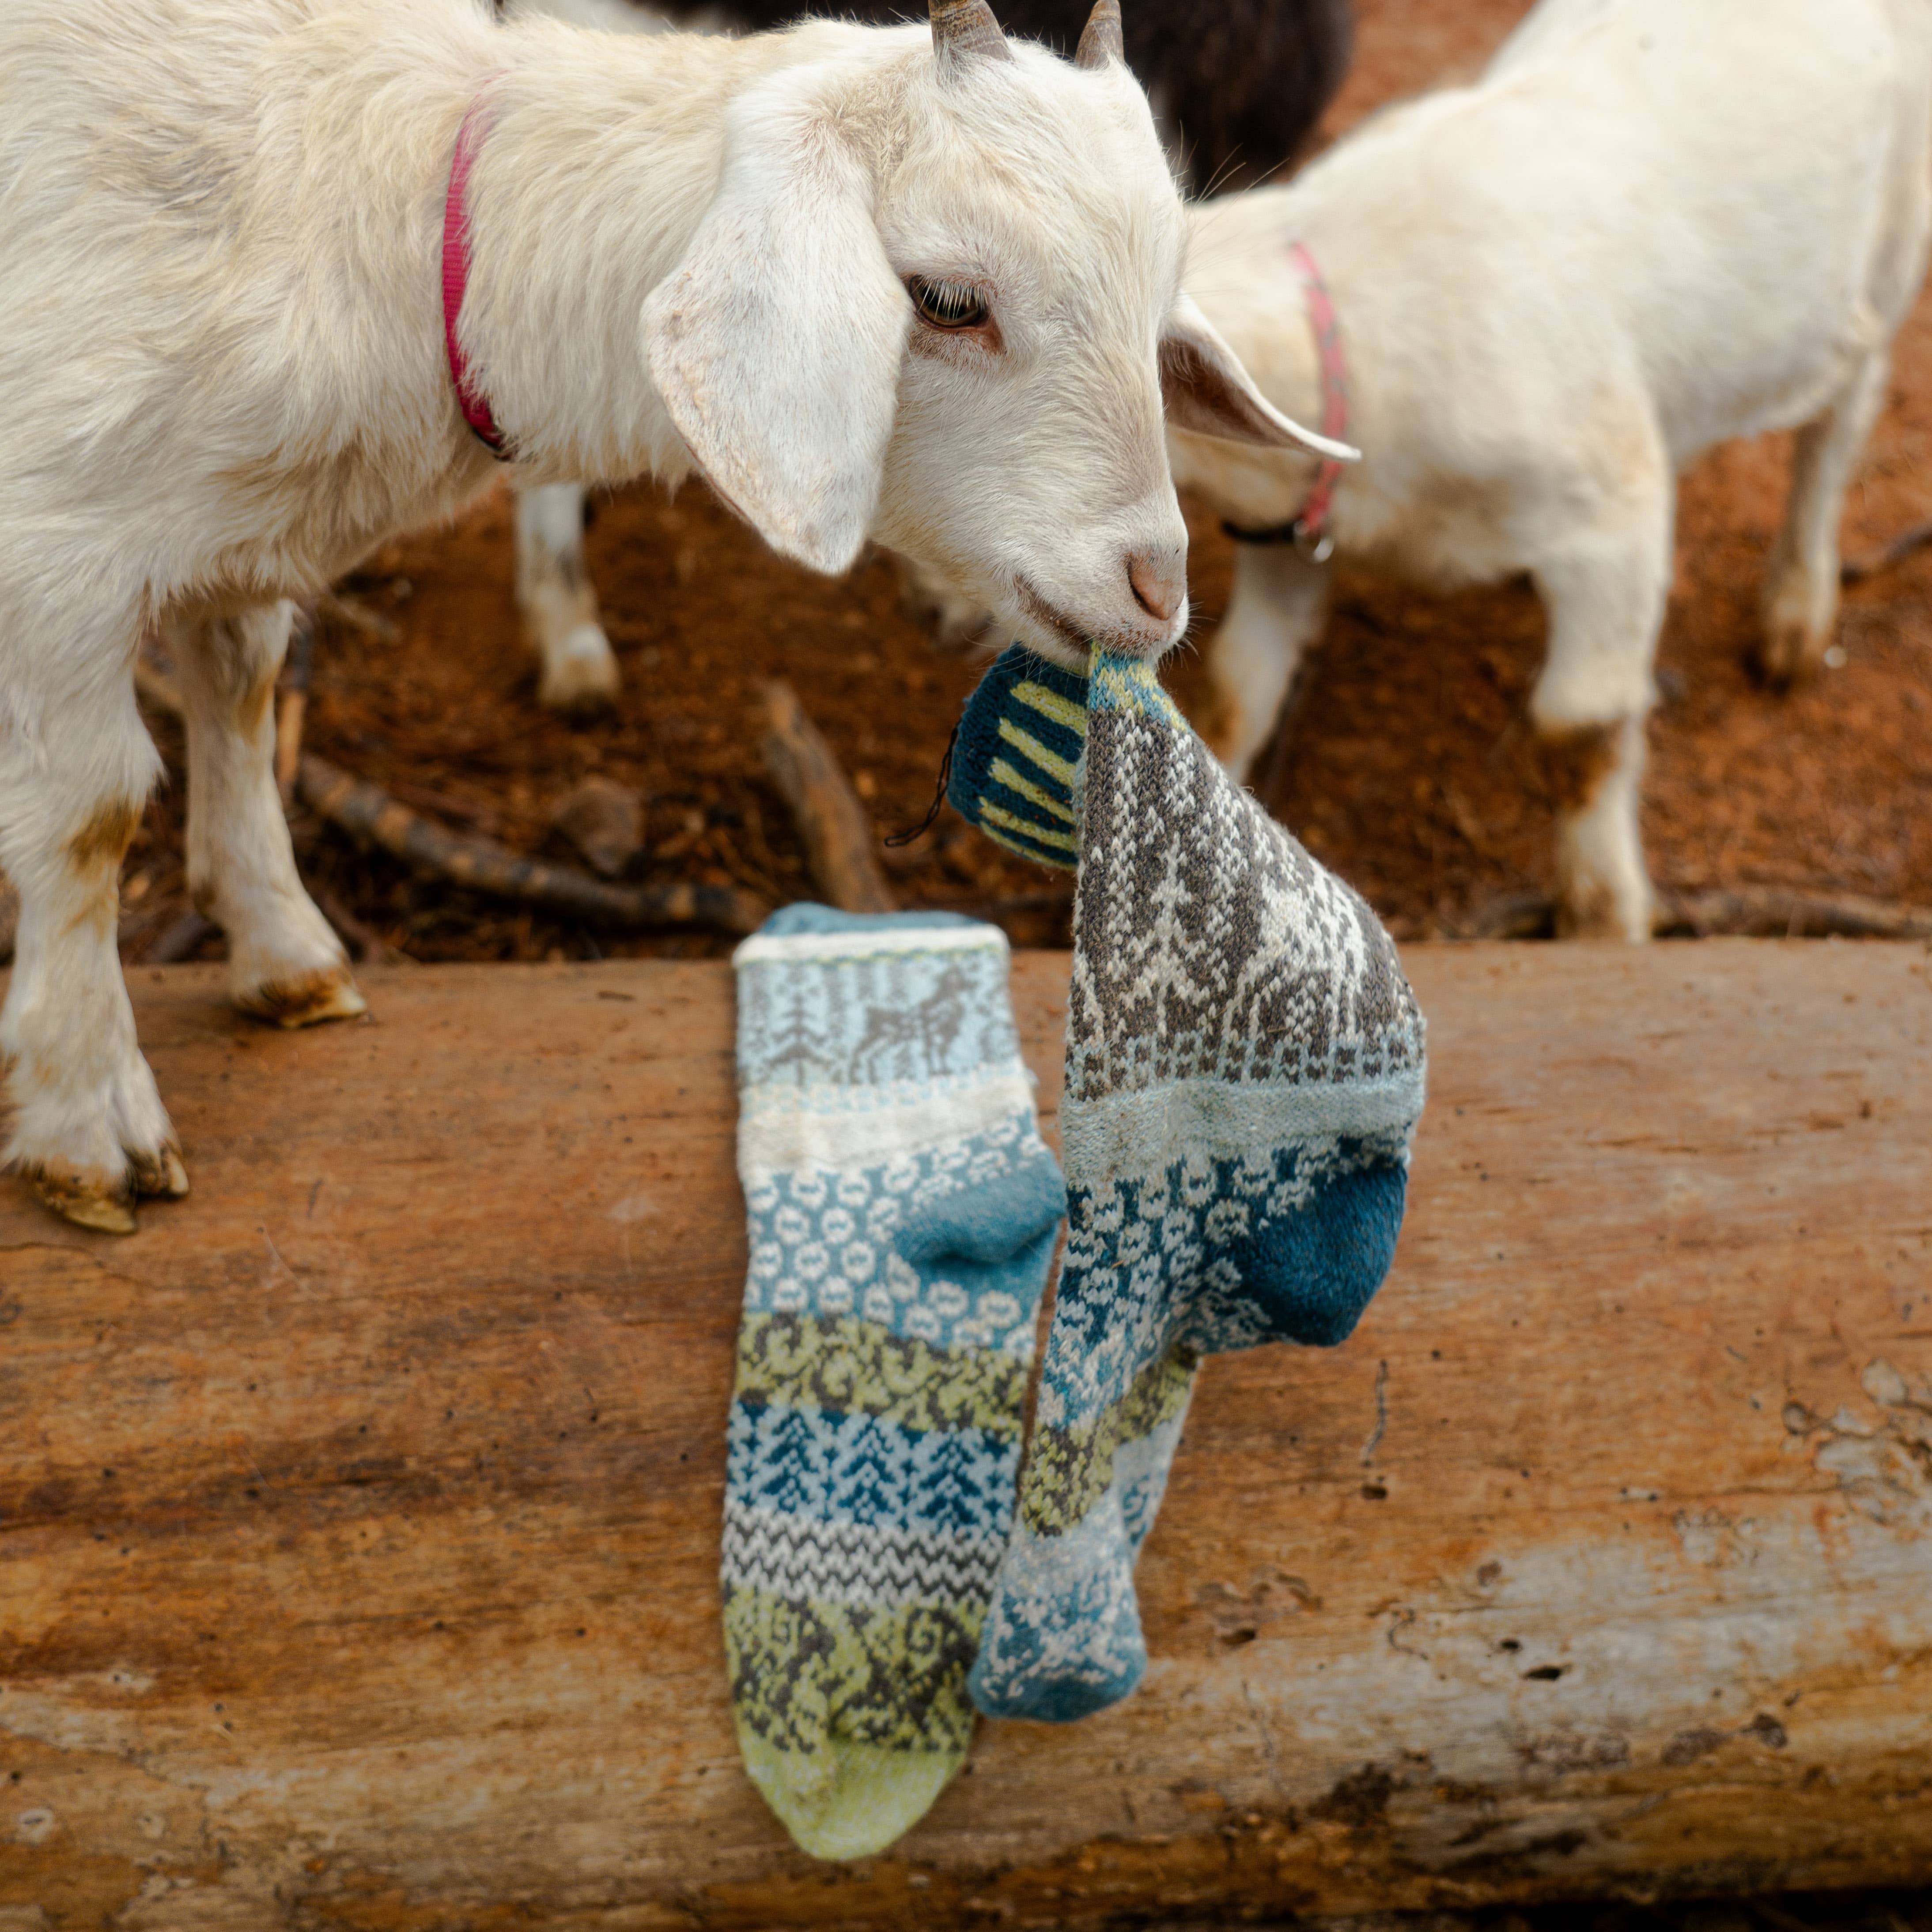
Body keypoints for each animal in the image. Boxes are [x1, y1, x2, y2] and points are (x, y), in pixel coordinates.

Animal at [1172, 0, 1932, 941]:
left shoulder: (1614, 519)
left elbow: (1580, 730)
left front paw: (1604, 921)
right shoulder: (1288, 525)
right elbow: (1236, 688)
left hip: (1888, 257)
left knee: (1839, 424)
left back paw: (1795, 612)